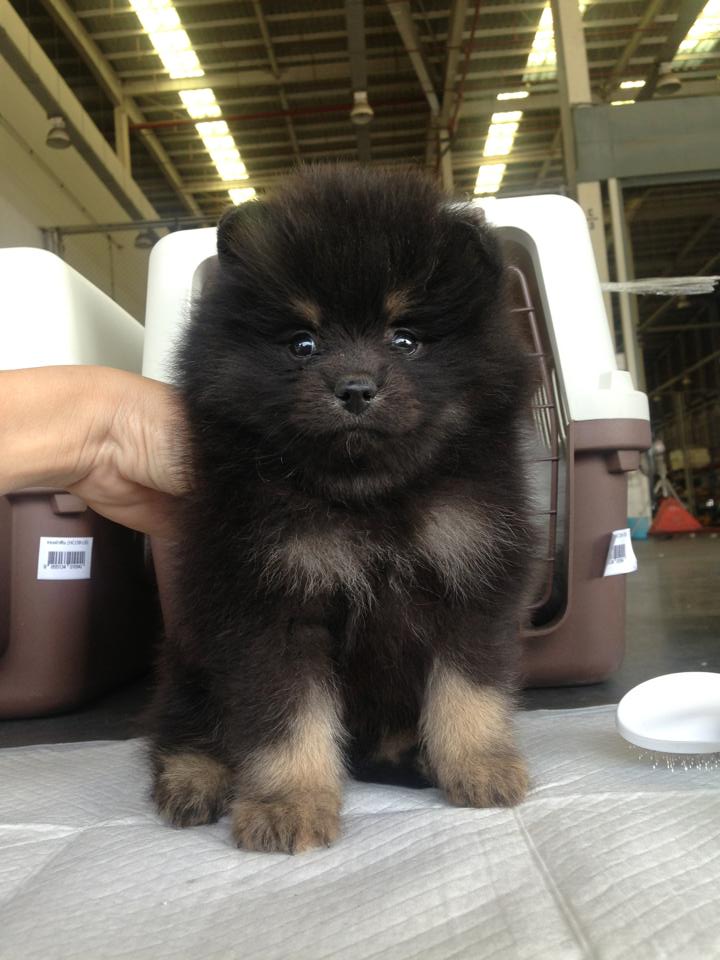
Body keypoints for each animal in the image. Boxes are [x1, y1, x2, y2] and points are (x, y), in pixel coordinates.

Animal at [150, 165, 538, 853]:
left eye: (405, 339)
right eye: (302, 343)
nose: (355, 388)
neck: (369, 495)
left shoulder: (471, 576)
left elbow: (468, 689)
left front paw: (478, 765)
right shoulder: (269, 602)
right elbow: (285, 715)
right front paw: (288, 803)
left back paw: (411, 754)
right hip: (188, 661)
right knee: (182, 725)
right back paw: (194, 778)